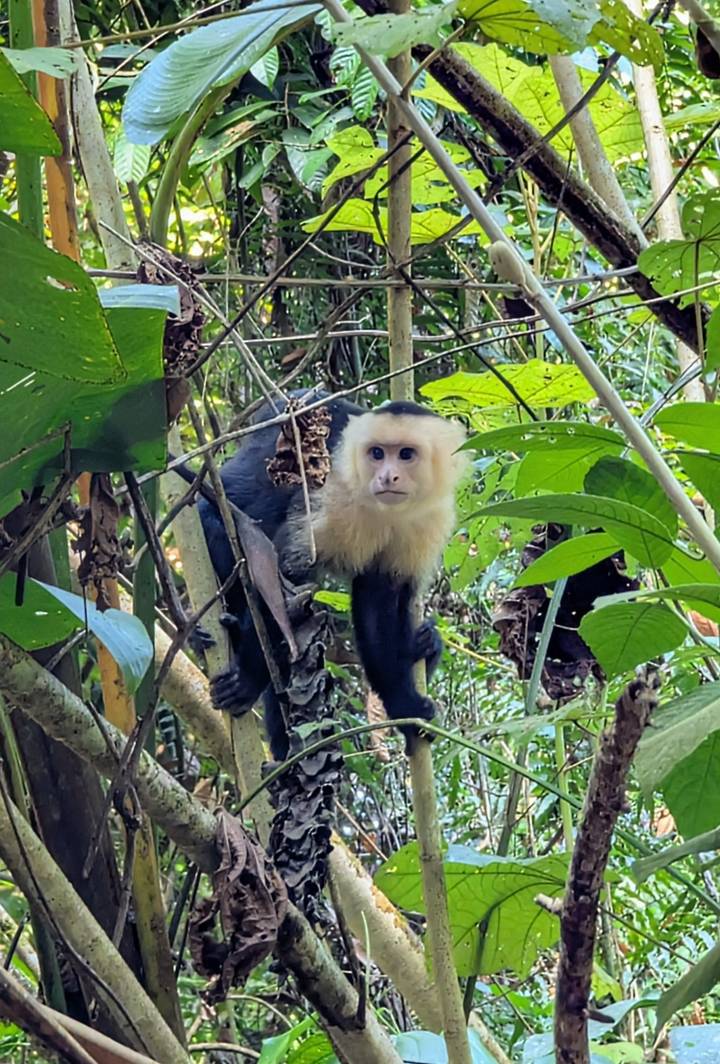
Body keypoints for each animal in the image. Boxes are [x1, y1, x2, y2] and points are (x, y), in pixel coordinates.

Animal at [185, 392, 468, 759]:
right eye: (377, 454)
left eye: (406, 455)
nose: (387, 477)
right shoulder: (332, 493)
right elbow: (282, 577)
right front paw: (247, 677)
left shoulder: (429, 517)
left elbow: (378, 600)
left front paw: (404, 707)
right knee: (225, 520)